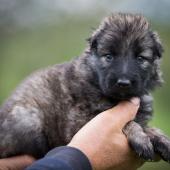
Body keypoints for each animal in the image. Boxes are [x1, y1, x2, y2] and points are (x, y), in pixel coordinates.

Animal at [0, 12, 170, 162]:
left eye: (140, 58)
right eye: (109, 56)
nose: (123, 83)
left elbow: (146, 126)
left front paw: (161, 139)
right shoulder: (80, 122)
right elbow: (129, 123)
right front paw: (141, 138)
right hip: (27, 118)